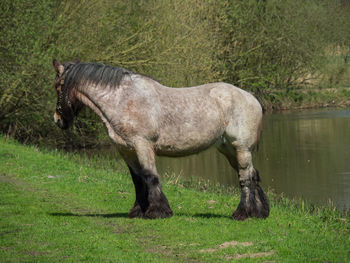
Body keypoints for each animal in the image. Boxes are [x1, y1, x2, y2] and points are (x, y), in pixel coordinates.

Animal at [52, 59, 270, 221]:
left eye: (57, 87)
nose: (57, 119)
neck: (123, 99)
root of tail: (252, 98)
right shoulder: (126, 150)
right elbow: (138, 179)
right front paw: (138, 211)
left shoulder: (142, 144)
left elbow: (150, 176)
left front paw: (158, 211)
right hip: (228, 149)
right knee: (252, 175)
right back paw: (259, 213)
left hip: (241, 148)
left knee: (245, 178)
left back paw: (242, 213)